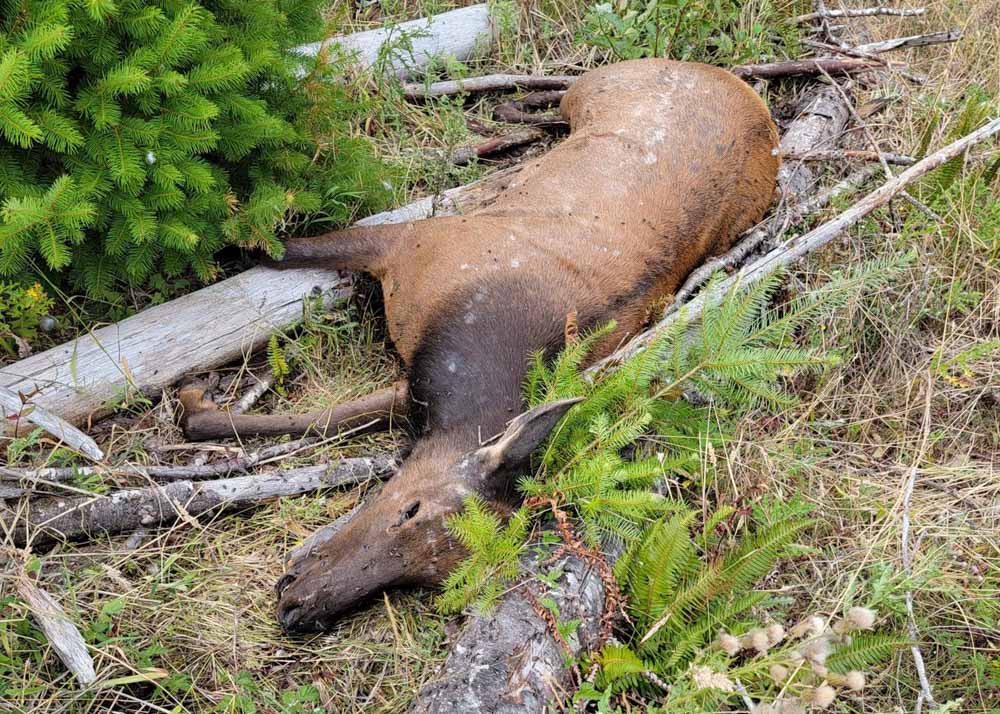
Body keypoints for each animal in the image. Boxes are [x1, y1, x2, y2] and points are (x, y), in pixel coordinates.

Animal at [179, 59, 780, 632]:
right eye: (410, 509)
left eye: (425, 577)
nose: (299, 604)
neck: (469, 362)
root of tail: (747, 95)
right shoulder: (414, 241)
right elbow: (275, 246)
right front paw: (222, 238)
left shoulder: (412, 376)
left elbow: (315, 420)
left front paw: (193, 403)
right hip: (599, 85)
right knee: (559, 92)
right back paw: (515, 109)